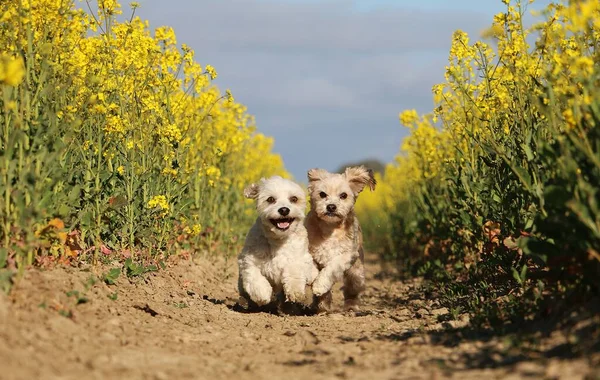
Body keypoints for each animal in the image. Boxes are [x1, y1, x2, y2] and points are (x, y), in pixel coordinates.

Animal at [237, 174, 318, 308]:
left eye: (294, 198)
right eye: (270, 199)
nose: (284, 210)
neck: (278, 240)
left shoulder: (300, 258)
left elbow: (294, 271)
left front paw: (295, 291)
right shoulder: (248, 260)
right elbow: (253, 275)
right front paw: (262, 294)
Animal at [304, 166, 376, 312]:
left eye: (343, 195)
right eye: (322, 194)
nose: (331, 206)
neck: (330, 229)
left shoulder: (347, 255)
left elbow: (332, 267)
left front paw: (319, 285)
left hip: (356, 274)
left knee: (352, 291)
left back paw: (350, 306)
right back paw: (321, 305)